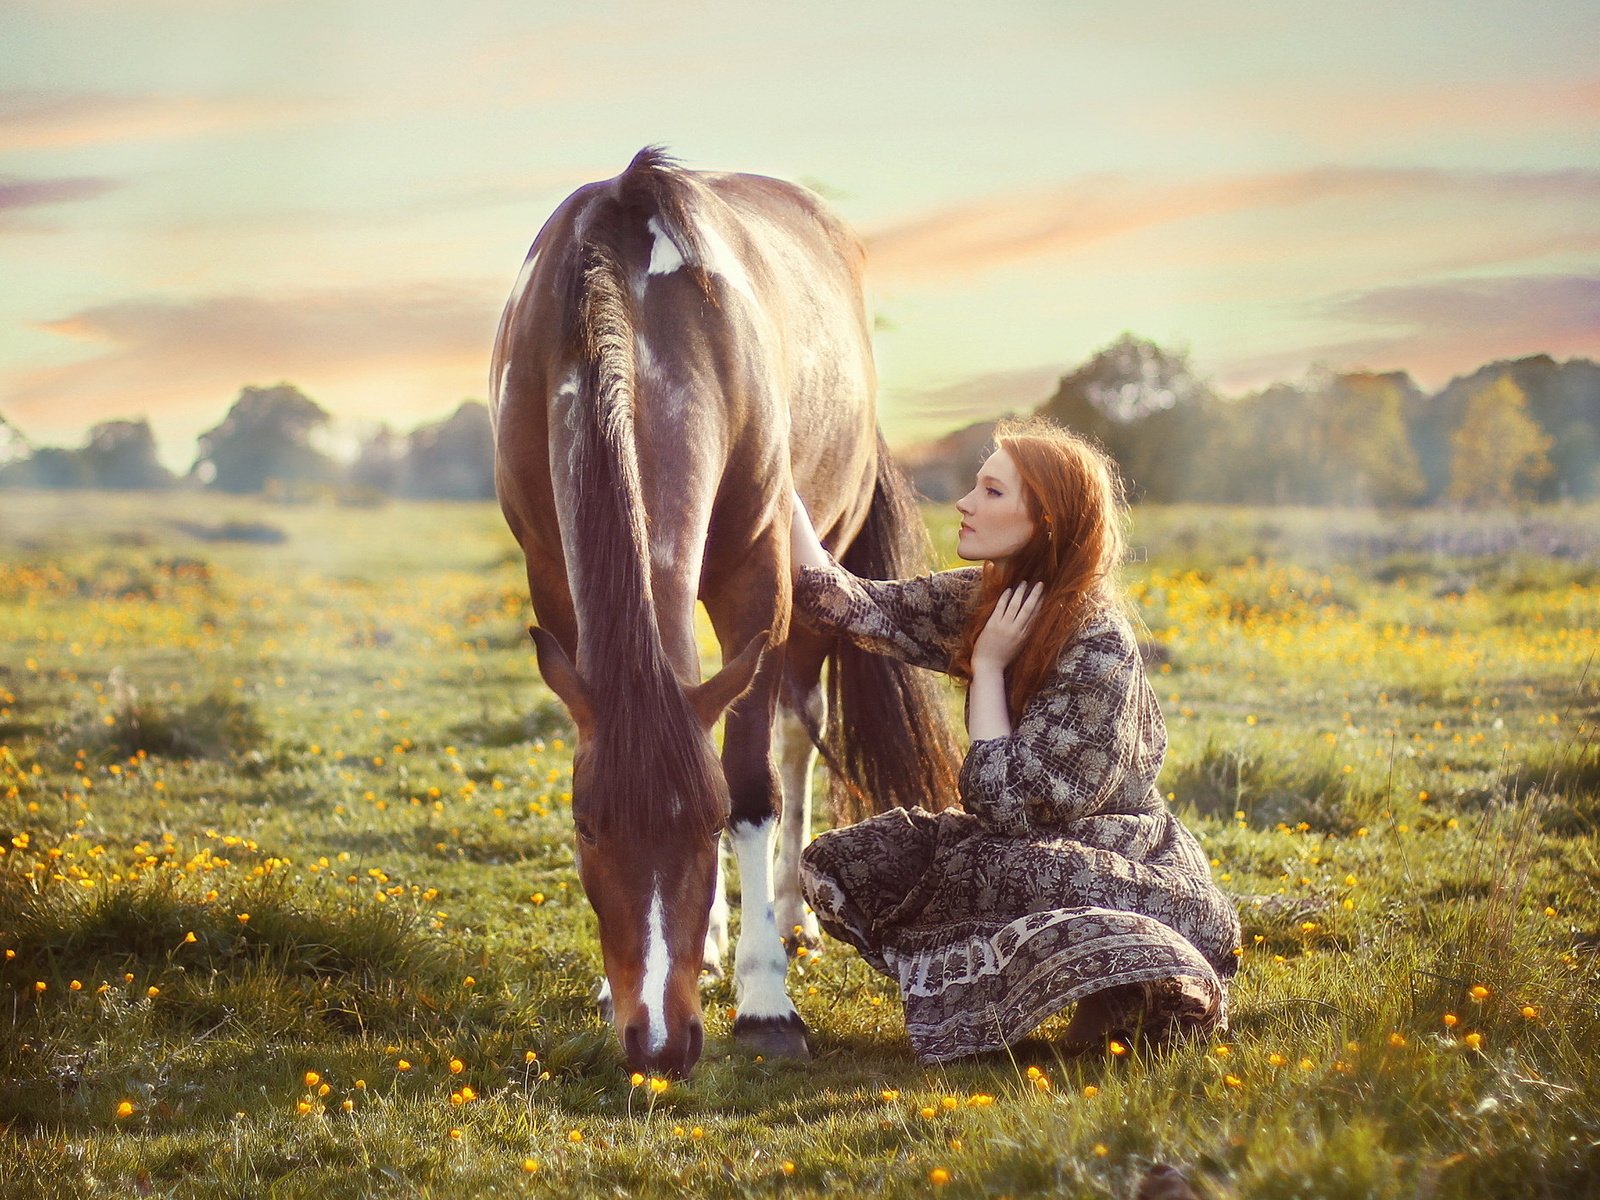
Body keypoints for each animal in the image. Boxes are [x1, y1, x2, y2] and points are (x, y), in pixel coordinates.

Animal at [492, 148, 953, 1081]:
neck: (628, 305)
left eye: (702, 825)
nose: (659, 1044)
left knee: (795, 728)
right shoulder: (553, 578)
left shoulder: (758, 577)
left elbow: (751, 784)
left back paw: (789, 919)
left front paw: (766, 1003)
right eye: (585, 826)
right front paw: (634, 981)